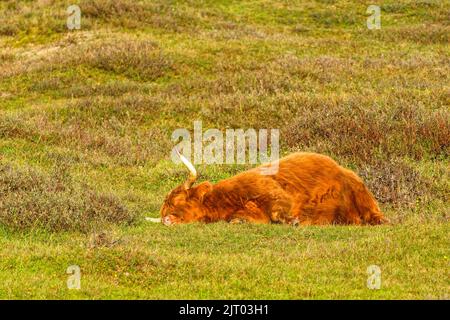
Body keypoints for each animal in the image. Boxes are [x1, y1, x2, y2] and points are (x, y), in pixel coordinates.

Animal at [160, 151, 388, 226]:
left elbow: (279, 210)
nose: (166, 220)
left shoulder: (273, 191)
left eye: (176, 202)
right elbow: (238, 220)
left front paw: (295, 221)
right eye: (163, 210)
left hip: (361, 194)